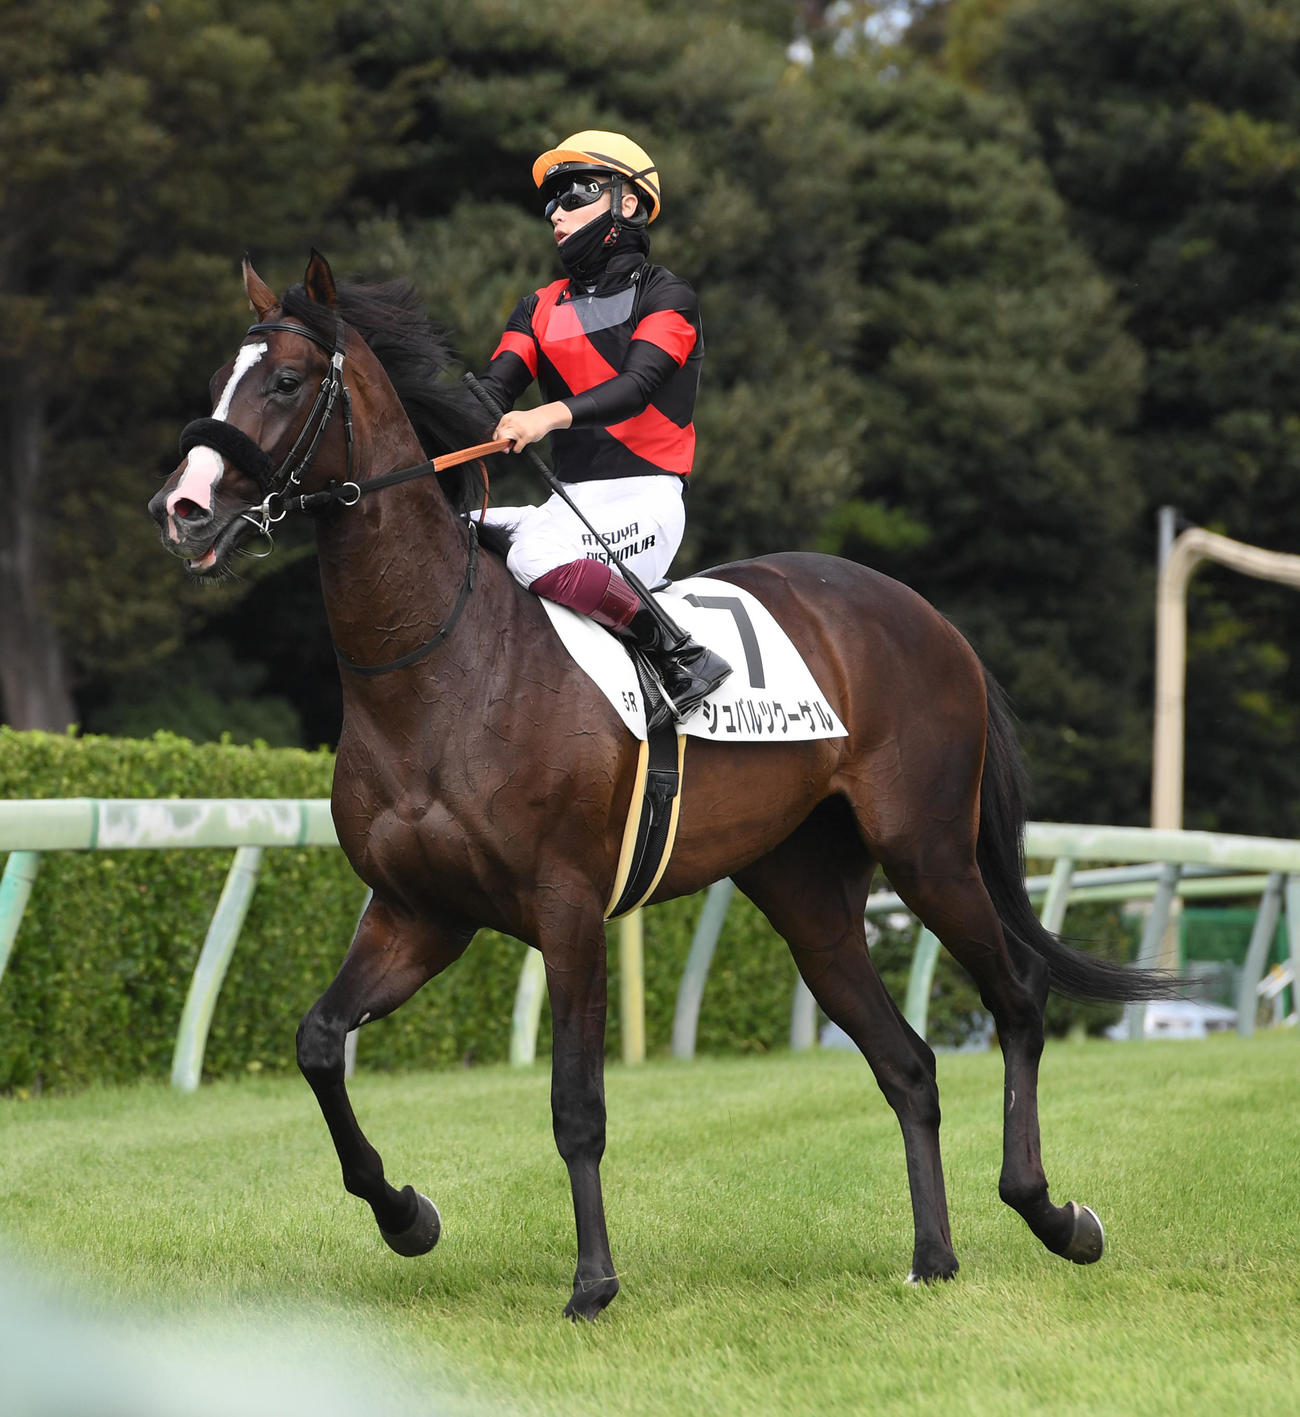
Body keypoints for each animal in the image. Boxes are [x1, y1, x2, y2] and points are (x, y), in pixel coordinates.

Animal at [149, 251, 1170, 1319]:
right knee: (909, 1062)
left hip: (928, 852)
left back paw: (1054, 1214)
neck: (437, 661)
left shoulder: (566, 910)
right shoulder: (416, 912)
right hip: (807, 893)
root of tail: (931, 620)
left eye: (285, 381)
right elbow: (318, 1042)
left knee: (1018, 997)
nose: (181, 507)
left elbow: (576, 1105)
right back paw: (933, 1254)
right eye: (221, 376)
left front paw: (592, 1281)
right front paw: (405, 1215)